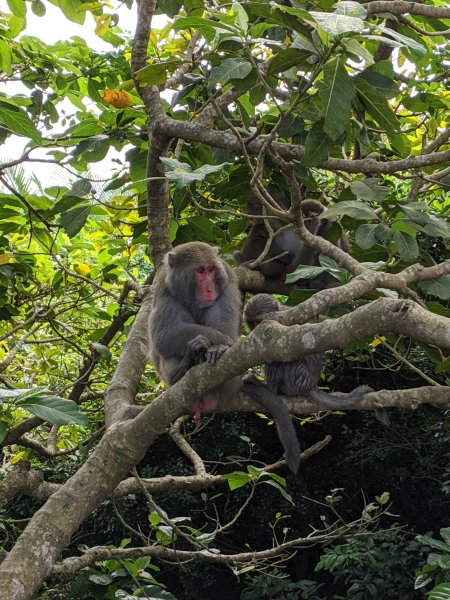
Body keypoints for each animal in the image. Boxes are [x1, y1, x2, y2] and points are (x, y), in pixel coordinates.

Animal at [149, 241, 243, 420]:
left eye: (211, 270)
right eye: (200, 271)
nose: (209, 289)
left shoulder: (227, 282)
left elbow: (226, 328)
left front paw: (219, 346)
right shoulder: (165, 289)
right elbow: (164, 337)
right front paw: (216, 340)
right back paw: (183, 368)